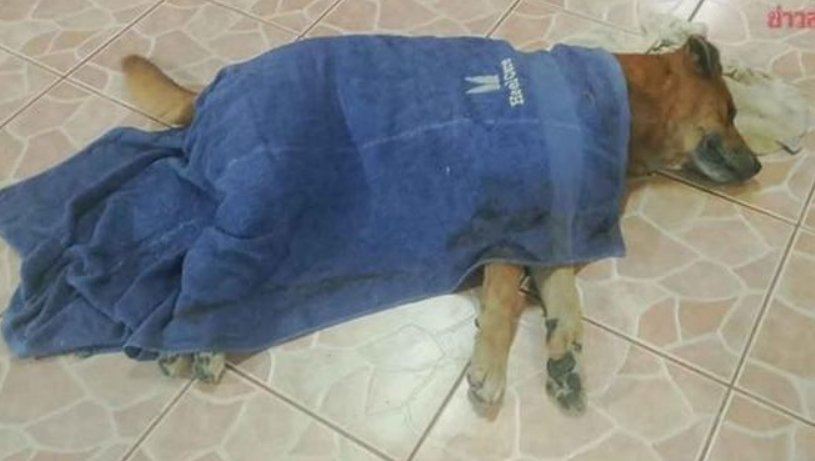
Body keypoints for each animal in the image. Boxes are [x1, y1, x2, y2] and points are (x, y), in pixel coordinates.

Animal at [121, 34, 761, 415]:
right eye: (730, 113)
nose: (759, 166)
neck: (625, 104)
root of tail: (212, 91)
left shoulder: (550, 229)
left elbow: (567, 303)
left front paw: (564, 357)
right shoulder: (510, 224)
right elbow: (505, 301)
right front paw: (491, 369)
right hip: (271, 196)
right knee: (202, 268)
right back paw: (198, 343)